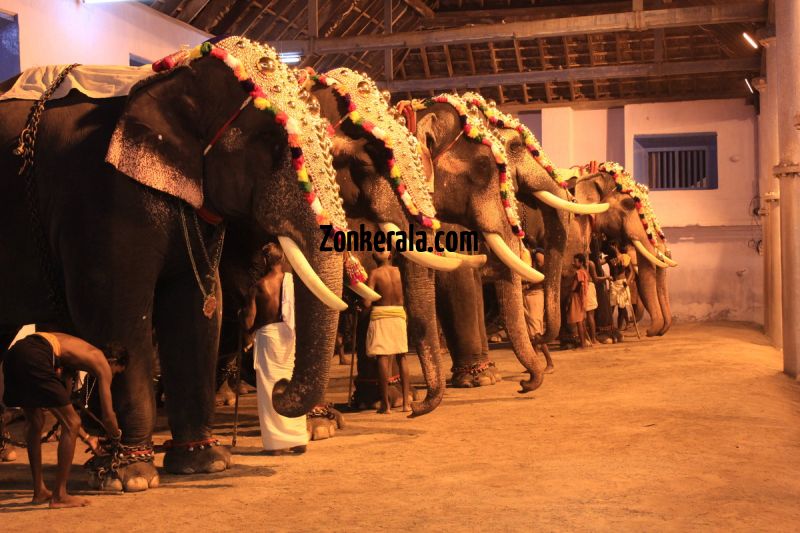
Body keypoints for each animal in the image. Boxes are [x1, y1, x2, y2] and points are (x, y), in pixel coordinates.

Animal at [0, 36, 360, 490]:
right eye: (275, 145)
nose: (278, 388)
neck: (173, 75)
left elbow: (200, 310)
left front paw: (205, 463)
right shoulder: (102, 197)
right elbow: (117, 311)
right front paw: (130, 478)